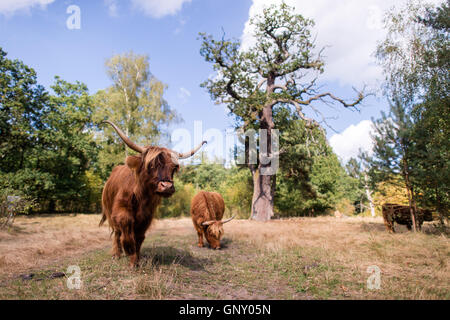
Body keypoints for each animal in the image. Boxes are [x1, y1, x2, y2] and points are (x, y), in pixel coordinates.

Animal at [100, 121, 206, 266]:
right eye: (151, 165)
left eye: (174, 168)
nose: (167, 186)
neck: (141, 197)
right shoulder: (121, 209)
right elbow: (126, 228)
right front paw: (129, 251)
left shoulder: (147, 215)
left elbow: (139, 237)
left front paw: (135, 260)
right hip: (110, 209)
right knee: (117, 232)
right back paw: (117, 254)